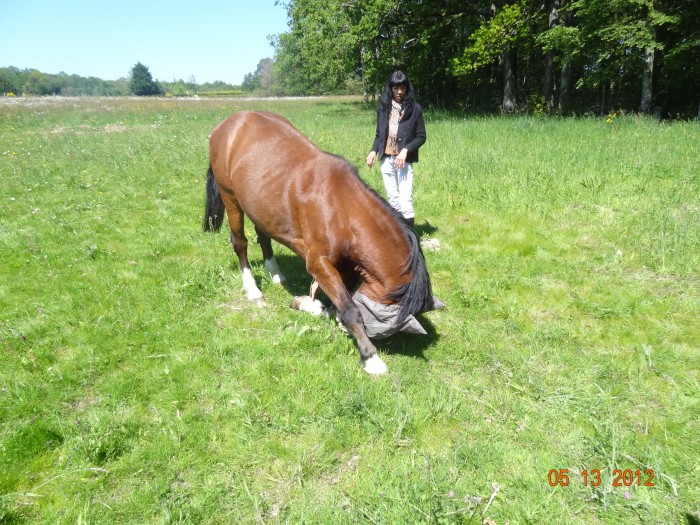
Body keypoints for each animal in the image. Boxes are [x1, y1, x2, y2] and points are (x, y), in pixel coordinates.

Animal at [202, 110, 440, 374]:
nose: (344, 330)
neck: (342, 209)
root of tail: (228, 124)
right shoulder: (319, 263)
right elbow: (349, 309)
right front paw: (370, 357)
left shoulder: (347, 266)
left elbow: (339, 302)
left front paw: (314, 306)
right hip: (230, 198)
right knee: (240, 243)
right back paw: (252, 288)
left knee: (263, 234)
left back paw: (275, 273)